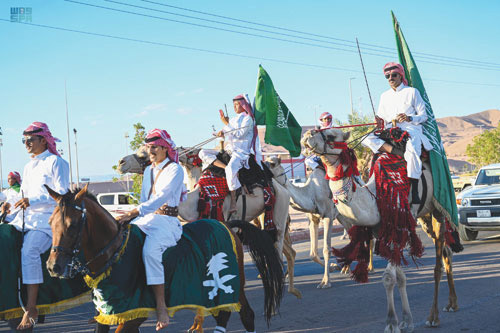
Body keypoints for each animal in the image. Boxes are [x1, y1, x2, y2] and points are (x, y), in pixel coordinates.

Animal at [45, 184, 286, 332]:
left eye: (72, 225)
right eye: (50, 223)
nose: (53, 266)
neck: (115, 254)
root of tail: (227, 225)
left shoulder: (134, 315)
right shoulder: (108, 314)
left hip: (233, 285)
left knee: (246, 315)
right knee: (222, 317)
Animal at [300, 128, 460, 330]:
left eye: (331, 135)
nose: (307, 135)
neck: (375, 197)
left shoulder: (399, 228)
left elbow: (389, 278)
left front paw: (392, 323)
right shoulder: (385, 229)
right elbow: (400, 277)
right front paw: (406, 320)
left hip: (439, 209)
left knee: (438, 262)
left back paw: (433, 317)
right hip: (424, 217)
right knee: (447, 252)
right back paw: (452, 303)